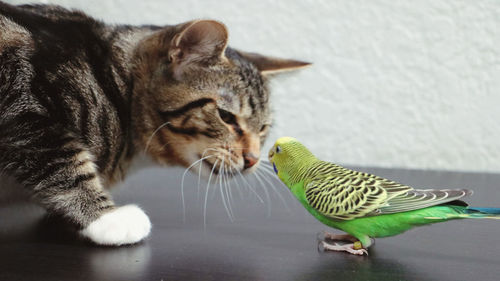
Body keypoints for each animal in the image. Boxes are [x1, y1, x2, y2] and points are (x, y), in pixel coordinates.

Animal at [0, 1, 308, 244]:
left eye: (263, 128)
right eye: (226, 117)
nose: (253, 159)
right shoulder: (20, 104)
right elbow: (61, 160)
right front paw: (107, 219)